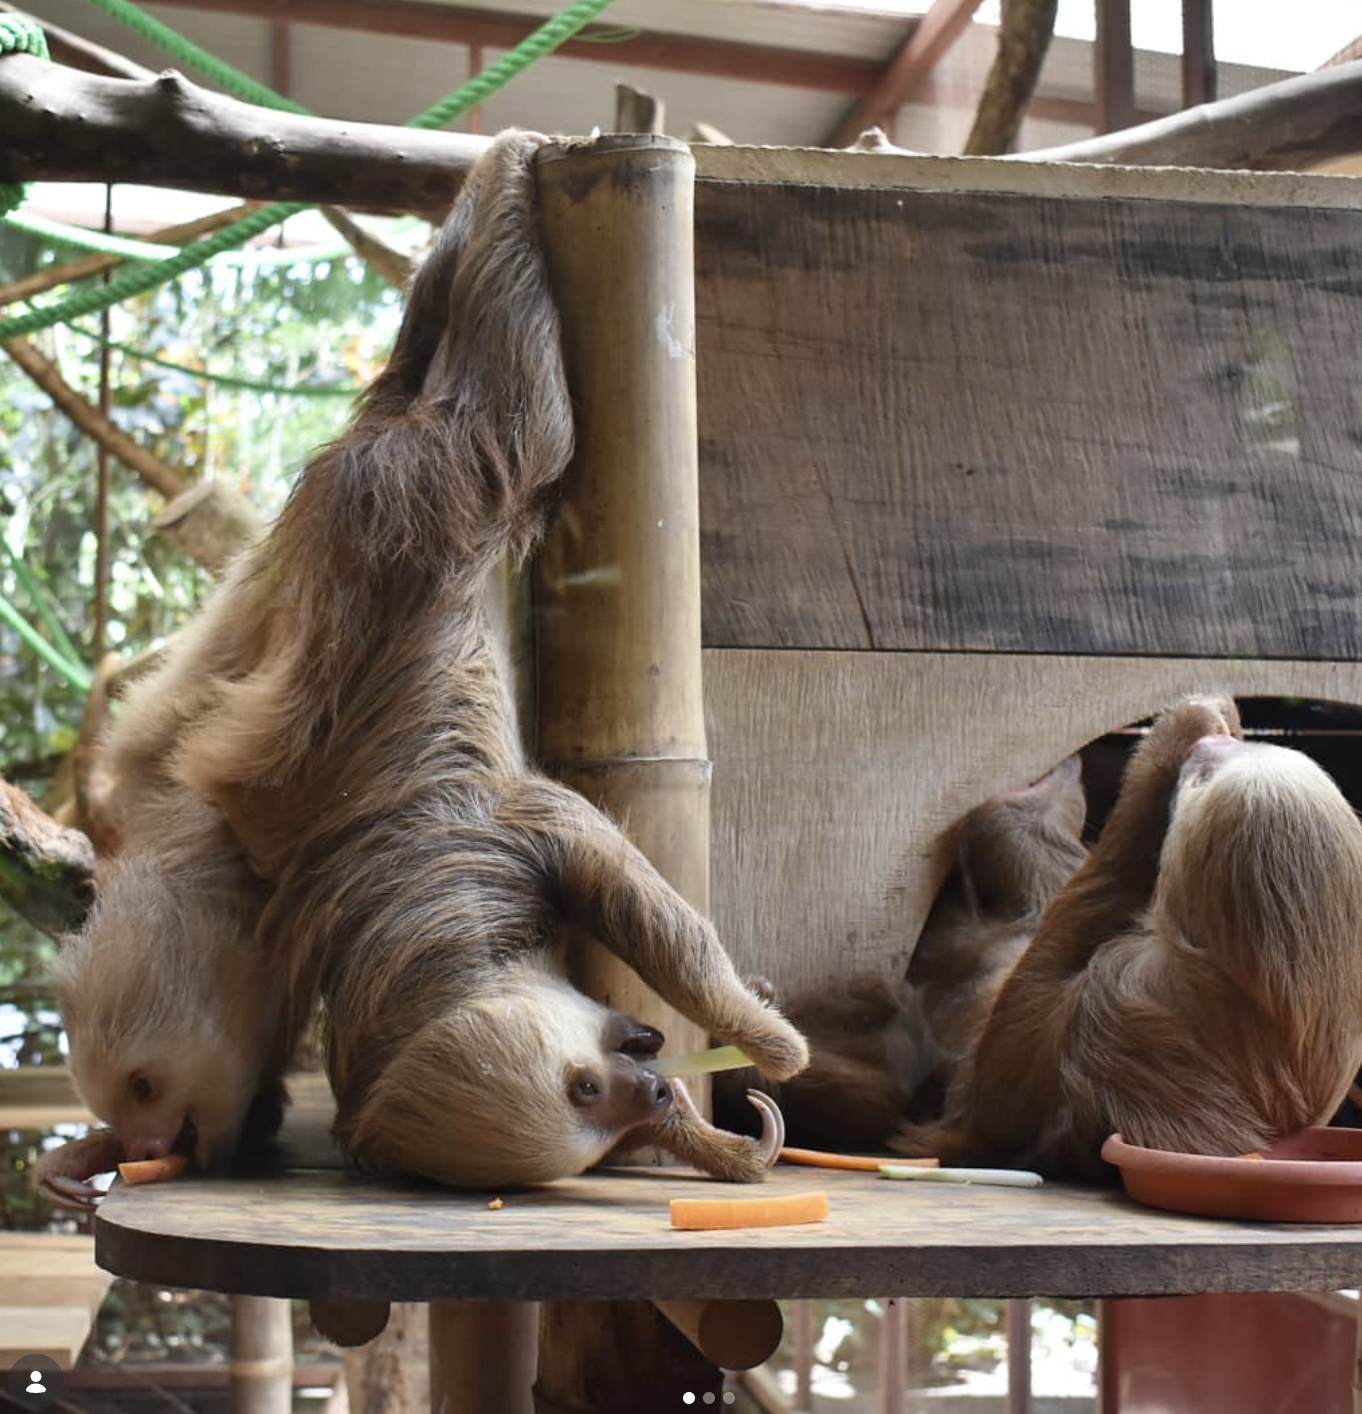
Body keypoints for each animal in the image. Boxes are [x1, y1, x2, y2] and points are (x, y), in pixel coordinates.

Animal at [37, 131, 806, 1205]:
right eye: (589, 1102)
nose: (648, 1090)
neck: (442, 939)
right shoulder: (508, 834)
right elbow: (640, 901)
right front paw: (740, 1080)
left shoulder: (493, 841)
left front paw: (755, 1054)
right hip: (416, 499)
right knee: (509, 416)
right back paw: (501, 181)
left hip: (383, 510)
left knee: (445, 378)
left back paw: (498, 174)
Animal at [893, 695, 1362, 1179]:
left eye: (1202, 778)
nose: (1215, 743)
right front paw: (1221, 714)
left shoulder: (1124, 1001)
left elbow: (1002, 1086)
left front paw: (1175, 735)